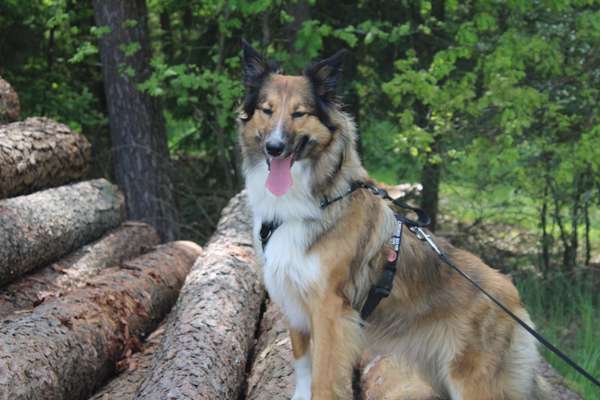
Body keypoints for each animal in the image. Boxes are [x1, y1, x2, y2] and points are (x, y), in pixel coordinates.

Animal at [238, 40, 548, 400]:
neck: (313, 198)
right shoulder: (292, 300)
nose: (274, 148)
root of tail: (514, 299)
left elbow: (324, 380)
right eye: (267, 110)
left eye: (299, 113)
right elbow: (303, 368)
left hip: (473, 383)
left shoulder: (330, 311)